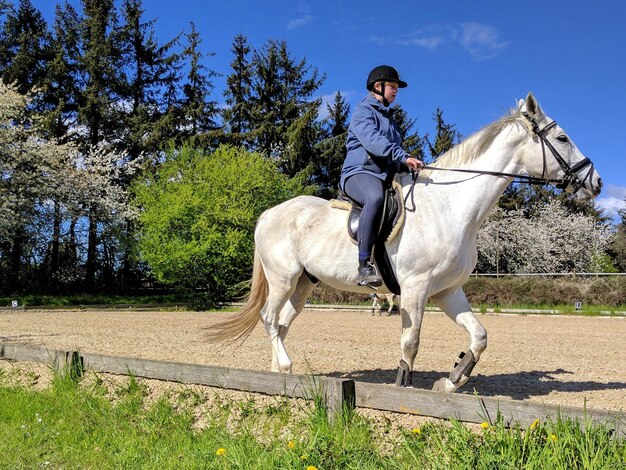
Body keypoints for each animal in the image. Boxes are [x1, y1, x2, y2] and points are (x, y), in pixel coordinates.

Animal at [210, 92, 600, 392]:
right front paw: (403, 386)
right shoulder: (415, 288)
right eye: (562, 139)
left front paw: (452, 380)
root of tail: (269, 213)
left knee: (282, 322)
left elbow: (479, 337)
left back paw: (279, 372)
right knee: (269, 318)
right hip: (284, 277)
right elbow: (411, 342)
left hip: (305, 283)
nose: (595, 182)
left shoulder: (447, 291)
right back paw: (286, 367)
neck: (452, 206)